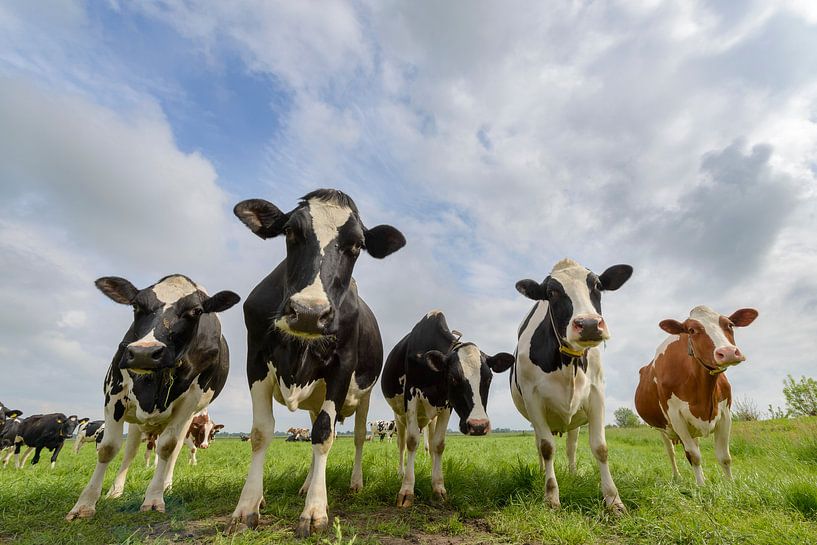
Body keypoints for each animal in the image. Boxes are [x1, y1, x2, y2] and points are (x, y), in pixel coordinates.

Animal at [67, 272, 239, 520]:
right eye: (136, 305)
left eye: (196, 311)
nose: (144, 353)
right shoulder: (114, 394)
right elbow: (108, 448)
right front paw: (85, 504)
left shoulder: (190, 401)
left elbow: (168, 447)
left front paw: (154, 498)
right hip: (136, 423)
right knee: (130, 451)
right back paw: (116, 490)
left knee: (173, 451)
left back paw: (165, 484)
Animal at [228, 188, 404, 536]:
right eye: (290, 232)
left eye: (357, 245)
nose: (309, 312)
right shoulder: (255, 360)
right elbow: (261, 432)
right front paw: (248, 505)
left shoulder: (342, 367)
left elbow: (324, 435)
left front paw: (314, 511)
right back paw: (307, 484)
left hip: (363, 397)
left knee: (357, 436)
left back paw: (354, 483)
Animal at [380, 310, 510, 506]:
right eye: (453, 378)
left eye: (488, 378)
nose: (478, 425)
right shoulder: (411, 397)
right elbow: (412, 441)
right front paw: (406, 489)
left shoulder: (447, 404)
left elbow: (439, 444)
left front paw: (438, 487)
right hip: (399, 417)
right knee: (401, 444)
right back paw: (401, 473)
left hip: (431, 418)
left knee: (431, 444)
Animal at [512, 258, 636, 512]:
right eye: (551, 292)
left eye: (598, 285)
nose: (588, 324)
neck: (569, 362)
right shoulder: (533, 399)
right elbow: (547, 447)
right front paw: (551, 496)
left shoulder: (596, 395)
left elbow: (600, 447)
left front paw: (613, 500)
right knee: (540, 445)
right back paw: (542, 472)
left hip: (575, 421)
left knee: (571, 446)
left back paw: (572, 473)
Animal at [632, 304, 760, 482]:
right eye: (691, 330)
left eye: (730, 324)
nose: (728, 352)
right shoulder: (676, 417)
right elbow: (693, 456)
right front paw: (701, 486)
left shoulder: (725, 414)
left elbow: (724, 457)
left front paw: (730, 485)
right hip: (661, 428)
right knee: (671, 452)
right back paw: (677, 477)